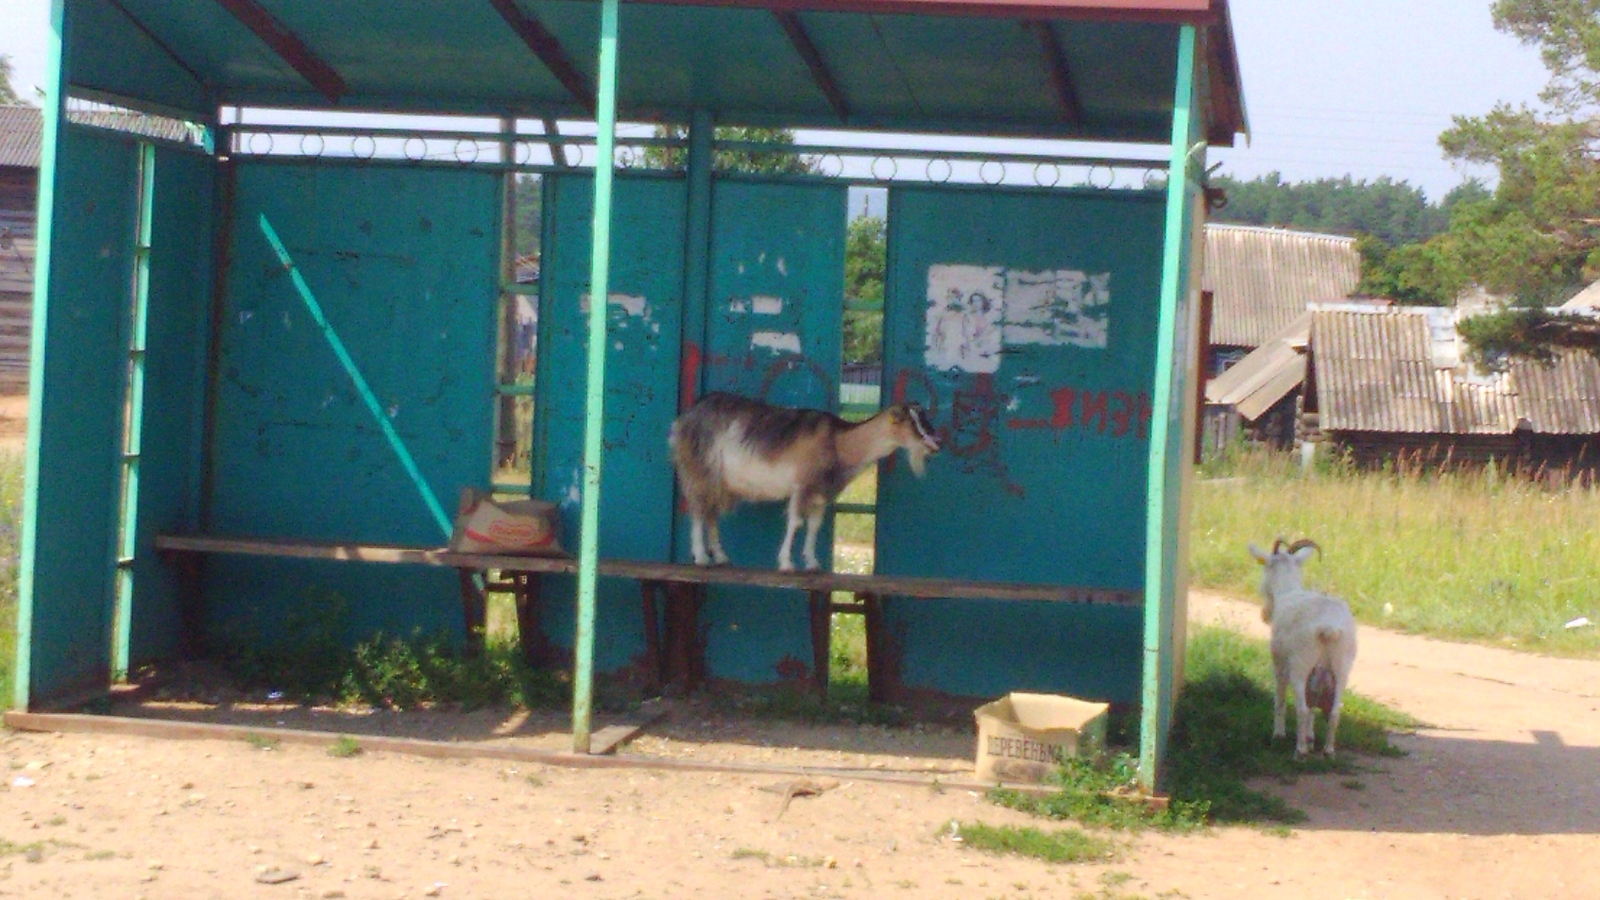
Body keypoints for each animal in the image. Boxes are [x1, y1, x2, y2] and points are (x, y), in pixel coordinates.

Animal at [672, 390, 940, 566]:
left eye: (924, 417)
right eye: (908, 422)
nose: (935, 443)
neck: (839, 442)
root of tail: (682, 421)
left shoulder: (822, 493)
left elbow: (814, 525)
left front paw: (811, 562)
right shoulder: (802, 485)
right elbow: (796, 522)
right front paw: (786, 563)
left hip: (717, 481)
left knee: (711, 514)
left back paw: (720, 556)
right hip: (699, 470)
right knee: (699, 511)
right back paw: (701, 557)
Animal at [1241, 534, 1356, 752]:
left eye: (1264, 567)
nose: (1264, 615)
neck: (1287, 593)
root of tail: (1328, 628)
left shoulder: (1279, 660)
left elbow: (1280, 697)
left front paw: (1279, 734)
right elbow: (1313, 704)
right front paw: (1310, 737)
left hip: (1301, 665)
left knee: (1301, 708)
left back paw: (1300, 750)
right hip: (1342, 666)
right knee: (1335, 711)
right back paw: (1328, 750)